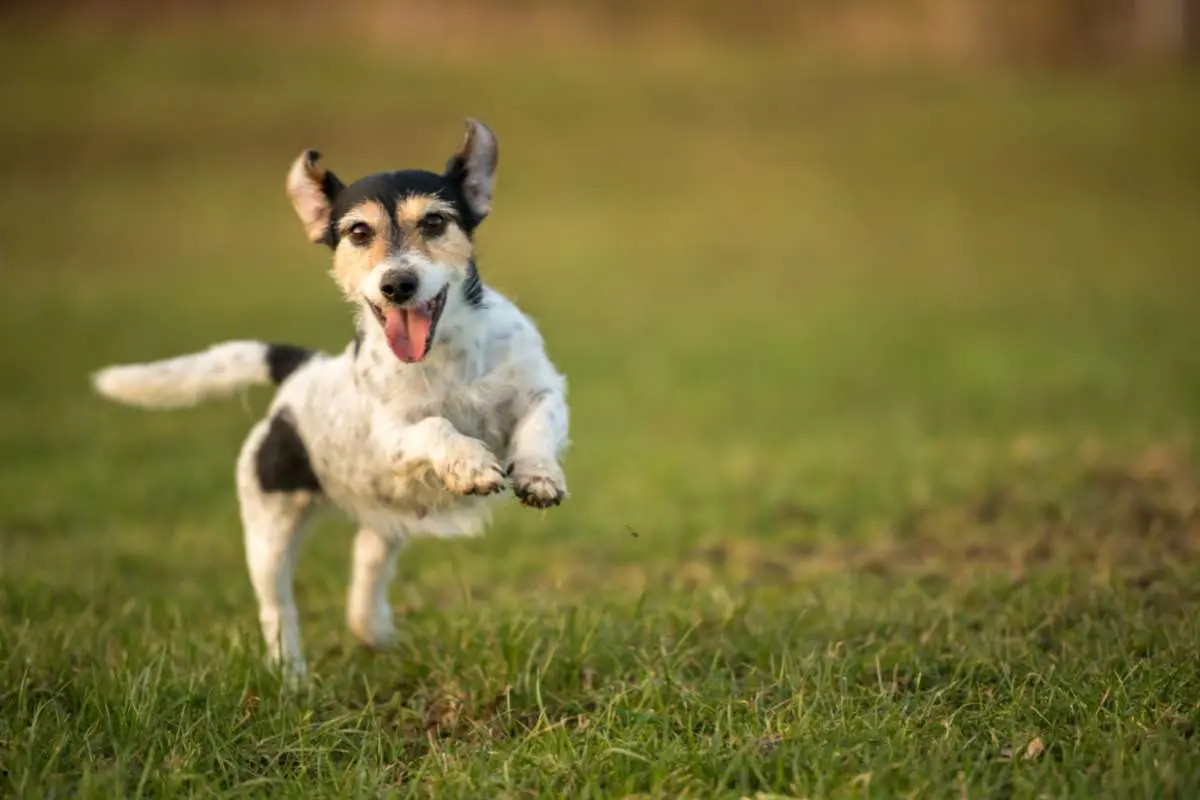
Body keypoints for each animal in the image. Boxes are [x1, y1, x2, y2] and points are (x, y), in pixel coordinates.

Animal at [91, 120, 568, 681]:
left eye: (434, 221)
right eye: (358, 232)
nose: (398, 283)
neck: (446, 355)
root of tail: (300, 370)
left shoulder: (544, 389)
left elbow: (536, 425)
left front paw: (538, 476)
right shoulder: (391, 436)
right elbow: (437, 428)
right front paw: (470, 464)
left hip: (385, 518)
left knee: (365, 559)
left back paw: (375, 631)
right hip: (269, 533)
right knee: (277, 608)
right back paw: (292, 676)